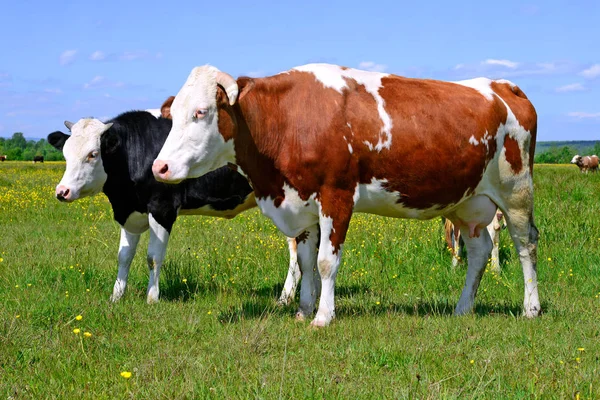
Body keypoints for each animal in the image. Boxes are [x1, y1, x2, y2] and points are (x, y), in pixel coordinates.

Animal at [47, 109, 302, 304]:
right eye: (65, 153)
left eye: (93, 154)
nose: (62, 191)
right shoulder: (131, 212)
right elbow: (124, 256)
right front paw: (116, 297)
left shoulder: (162, 208)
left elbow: (153, 257)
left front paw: (152, 298)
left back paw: (285, 299)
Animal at [152, 64, 540, 326]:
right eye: (173, 115)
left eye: (201, 112)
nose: (160, 167)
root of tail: (503, 85)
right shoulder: (302, 205)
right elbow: (305, 261)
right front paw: (302, 310)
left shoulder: (336, 196)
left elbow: (326, 261)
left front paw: (323, 317)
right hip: (467, 202)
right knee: (479, 251)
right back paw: (462, 308)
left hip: (516, 191)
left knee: (526, 244)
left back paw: (531, 308)